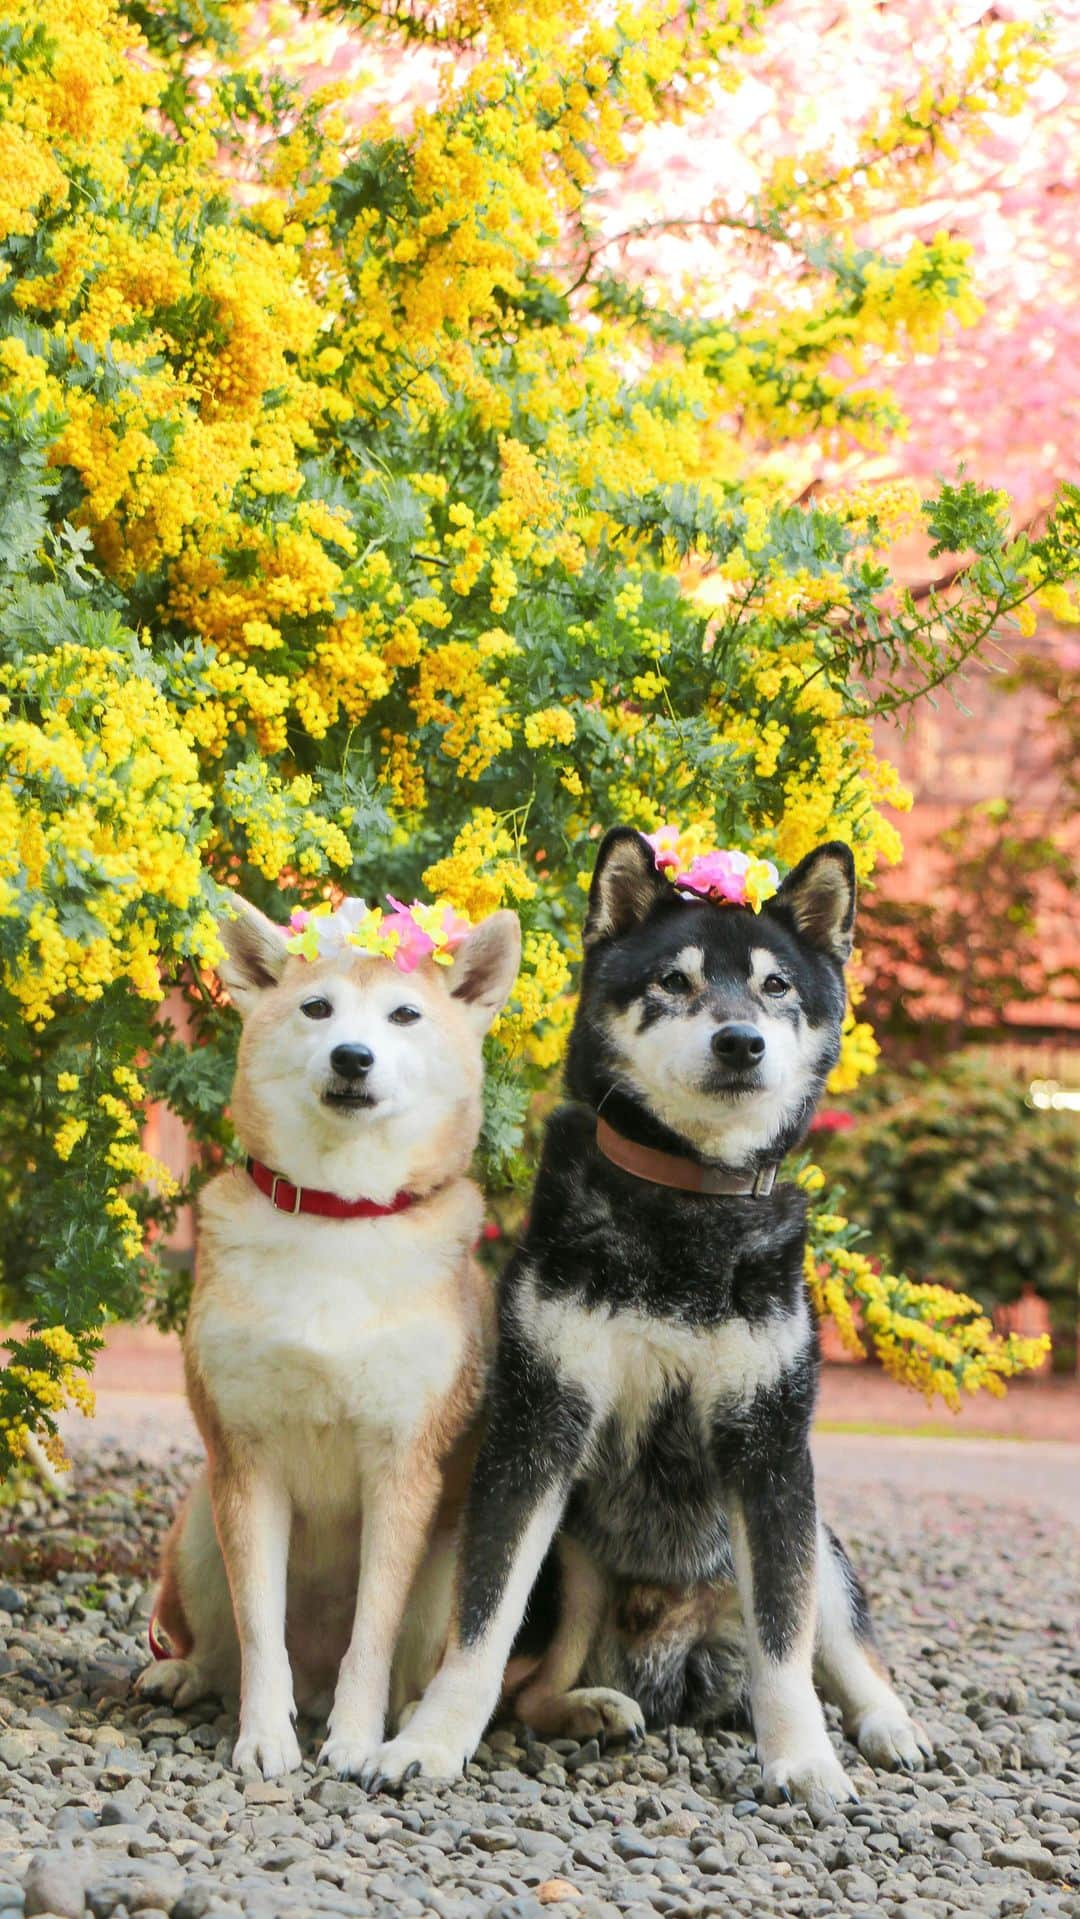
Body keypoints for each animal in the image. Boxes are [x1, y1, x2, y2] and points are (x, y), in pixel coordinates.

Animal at [137, 898, 521, 1780]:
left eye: (404, 1015)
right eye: (317, 1008)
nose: (352, 1055)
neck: (338, 1218)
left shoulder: (402, 1465)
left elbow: (371, 1634)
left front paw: (353, 1738)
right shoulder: (247, 1458)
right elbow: (258, 1630)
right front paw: (263, 1736)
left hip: (447, 1569)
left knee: (412, 1659)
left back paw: (399, 1715)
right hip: (200, 1528)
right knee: (221, 1647)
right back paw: (186, 1674)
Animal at [366, 832, 928, 1803]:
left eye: (777, 986)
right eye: (674, 979)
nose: (740, 1040)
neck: (685, 1206)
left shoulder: (771, 1451)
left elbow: (786, 1642)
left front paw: (804, 1760)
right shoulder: (536, 1430)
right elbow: (480, 1621)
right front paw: (431, 1741)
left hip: (819, 1540)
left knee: (842, 1646)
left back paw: (888, 1725)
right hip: (573, 1565)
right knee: (530, 1685)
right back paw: (590, 1707)